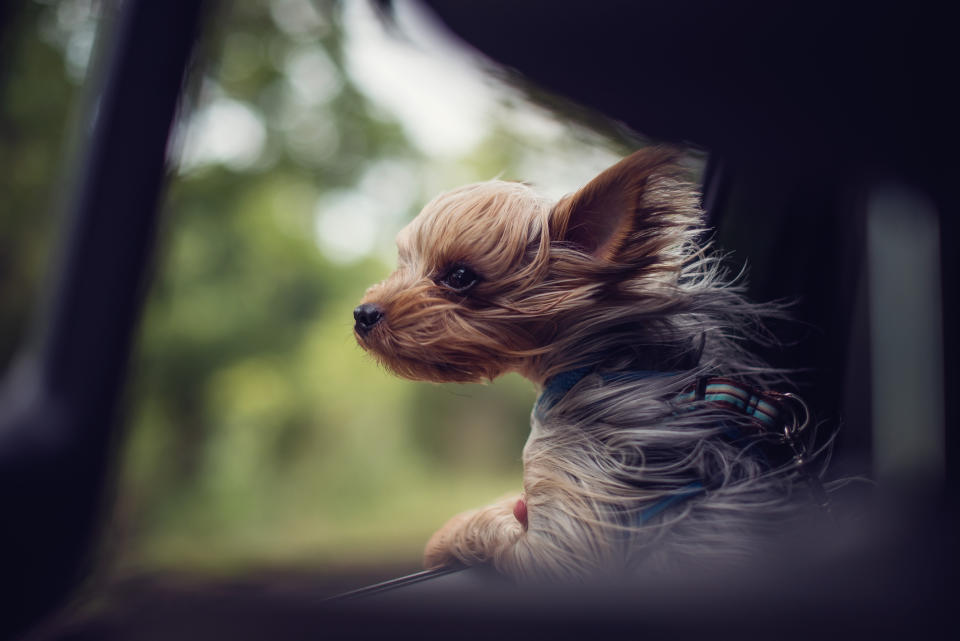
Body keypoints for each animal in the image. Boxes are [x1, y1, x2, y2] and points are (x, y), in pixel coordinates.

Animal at [356, 148, 820, 584]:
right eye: (403, 263)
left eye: (460, 277)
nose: (363, 314)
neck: (603, 363)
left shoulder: (568, 527)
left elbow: (495, 525)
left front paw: (441, 539)